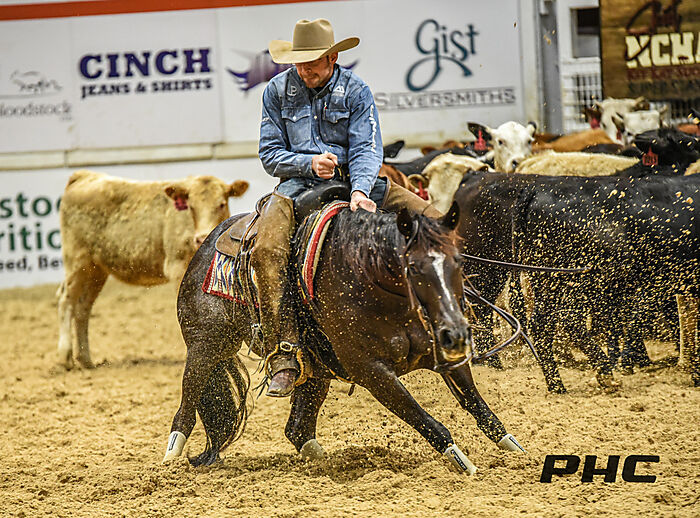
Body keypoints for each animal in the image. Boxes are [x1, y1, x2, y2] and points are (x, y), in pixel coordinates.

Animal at [56, 170, 249, 369]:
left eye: (221, 204)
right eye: (191, 206)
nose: (201, 237)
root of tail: (84, 175)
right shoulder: (177, 267)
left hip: (95, 270)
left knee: (83, 308)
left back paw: (85, 359)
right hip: (76, 262)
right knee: (66, 301)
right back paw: (65, 358)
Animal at [162, 191, 526, 474]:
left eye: (459, 261)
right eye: (413, 267)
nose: (457, 333)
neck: (368, 277)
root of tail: (208, 244)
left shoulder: (444, 356)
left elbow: (480, 408)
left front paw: (520, 454)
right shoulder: (373, 372)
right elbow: (427, 421)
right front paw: (465, 464)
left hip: (313, 370)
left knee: (297, 429)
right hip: (205, 347)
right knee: (186, 408)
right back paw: (168, 462)